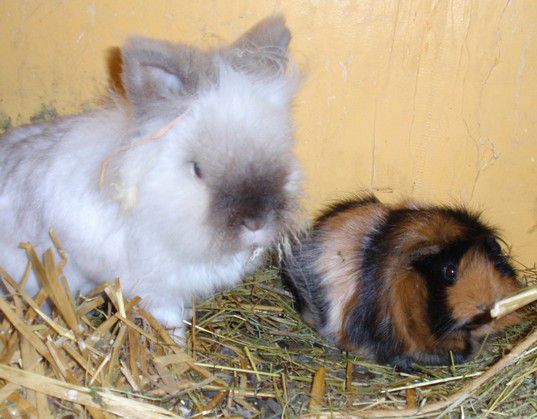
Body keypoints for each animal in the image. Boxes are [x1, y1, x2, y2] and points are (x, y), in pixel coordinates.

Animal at [0, 16, 302, 333]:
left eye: (279, 152)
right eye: (198, 170)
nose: (256, 222)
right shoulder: (157, 289)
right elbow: (168, 321)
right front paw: (177, 342)